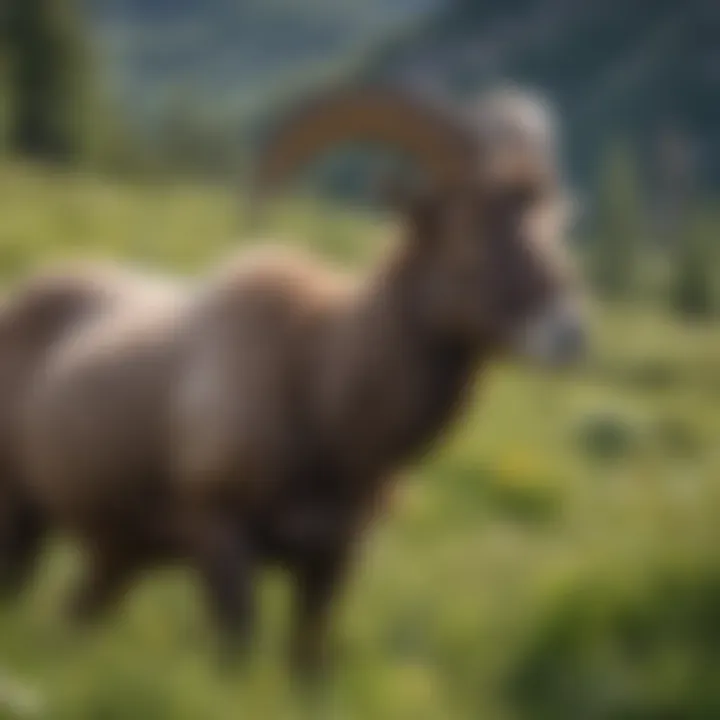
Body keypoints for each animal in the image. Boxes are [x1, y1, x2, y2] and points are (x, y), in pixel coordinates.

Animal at [0, 86, 584, 676]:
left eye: (551, 230)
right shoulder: (222, 538)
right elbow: (236, 648)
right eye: (467, 234)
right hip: (22, 518)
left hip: (119, 556)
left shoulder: (331, 563)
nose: (568, 334)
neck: (318, 394)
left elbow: (307, 658)